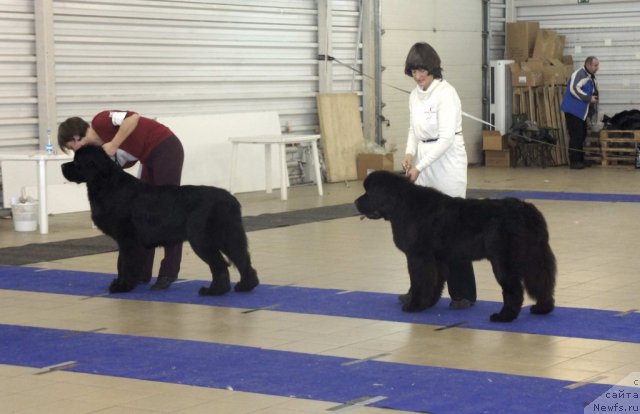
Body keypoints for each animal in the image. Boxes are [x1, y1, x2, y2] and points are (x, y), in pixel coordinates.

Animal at [61, 145, 258, 294]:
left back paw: (215, 291)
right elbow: (122, 262)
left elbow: (125, 263)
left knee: (220, 264)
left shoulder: (128, 240)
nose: (62, 166)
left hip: (202, 240)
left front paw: (122, 286)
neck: (107, 184)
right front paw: (121, 283)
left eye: (77, 162)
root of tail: (230, 199)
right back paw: (245, 286)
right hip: (227, 236)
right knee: (242, 258)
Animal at [356, 170, 556, 322]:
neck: (401, 205)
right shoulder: (437, 260)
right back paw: (542, 307)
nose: (356, 202)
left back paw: (504, 316)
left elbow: (420, 281)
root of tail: (528, 211)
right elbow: (434, 282)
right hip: (534, 257)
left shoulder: (419, 257)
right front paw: (427, 303)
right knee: (542, 281)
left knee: (514, 289)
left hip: (503, 261)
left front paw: (415, 305)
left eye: (368, 192)